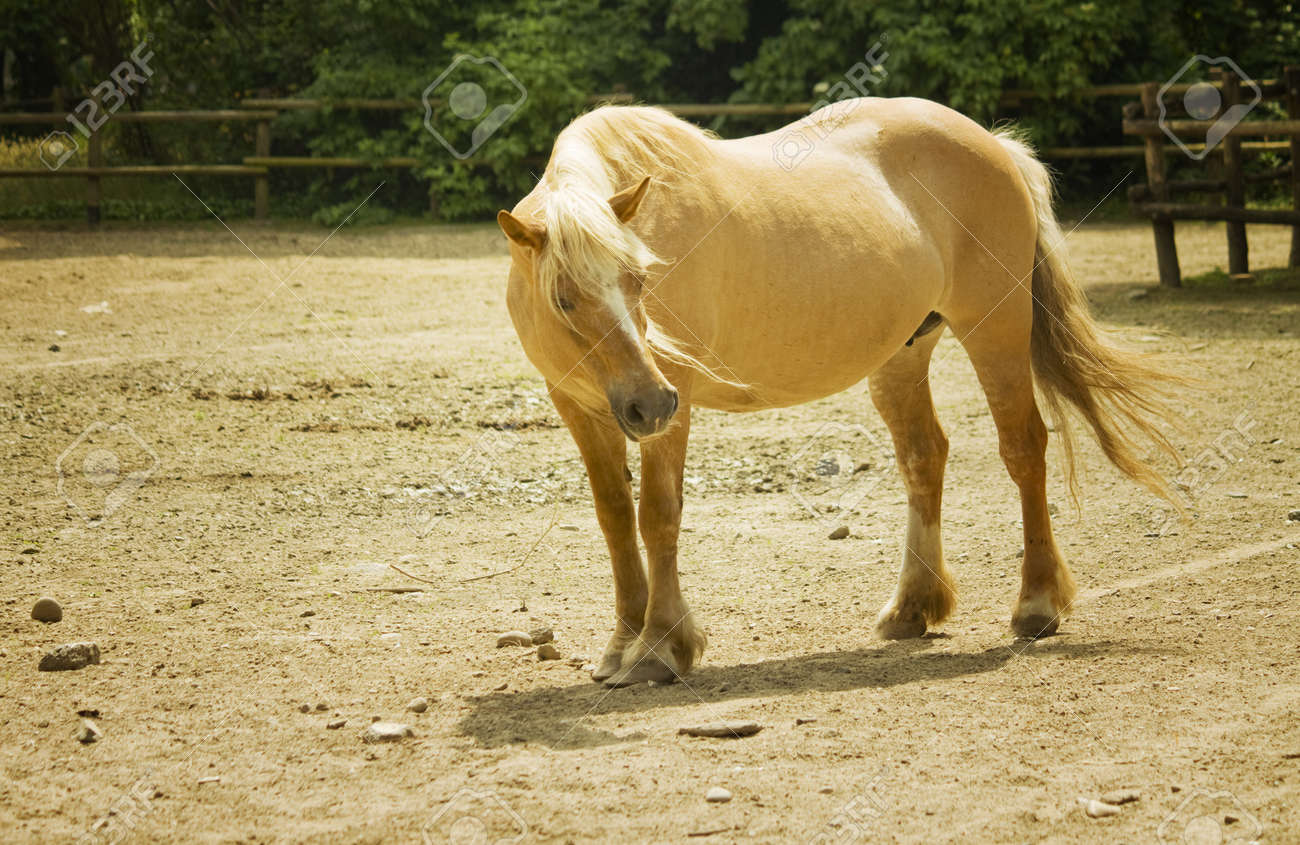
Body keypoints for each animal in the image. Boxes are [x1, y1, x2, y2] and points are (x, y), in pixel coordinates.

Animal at [496, 99, 1180, 687]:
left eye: (641, 279)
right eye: (564, 299)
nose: (649, 404)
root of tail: (995, 145)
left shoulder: (675, 398)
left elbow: (658, 516)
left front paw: (660, 647)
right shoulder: (579, 407)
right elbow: (615, 518)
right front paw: (622, 645)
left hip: (997, 331)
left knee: (1023, 449)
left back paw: (1036, 605)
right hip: (903, 355)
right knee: (923, 458)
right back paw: (912, 608)